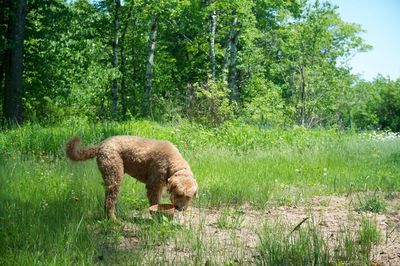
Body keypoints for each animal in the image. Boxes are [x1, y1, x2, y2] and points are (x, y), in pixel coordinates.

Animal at [65, 135, 198, 222]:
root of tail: (100, 146)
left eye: (188, 197)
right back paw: (114, 221)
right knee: (109, 202)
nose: (180, 209)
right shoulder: (154, 185)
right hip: (114, 175)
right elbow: (155, 202)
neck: (172, 163)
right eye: (178, 194)